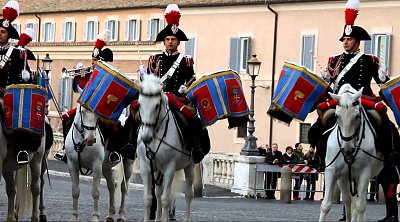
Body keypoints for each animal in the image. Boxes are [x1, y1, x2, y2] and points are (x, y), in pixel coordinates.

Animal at [136, 75, 195, 222]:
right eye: (139, 104)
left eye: (157, 105)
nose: (146, 138)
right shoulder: (146, 167)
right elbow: (148, 198)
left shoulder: (169, 168)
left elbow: (165, 200)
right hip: (157, 169)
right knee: (158, 193)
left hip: (190, 165)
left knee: (188, 194)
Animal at [318, 84, 384, 221]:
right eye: (336, 116)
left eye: (357, 116)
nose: (347, 150)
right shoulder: (332, 171)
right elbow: (326, 205)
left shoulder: (364, 173)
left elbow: (360, 207)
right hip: (344, 178)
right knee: (348, 200)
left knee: (358, 204)